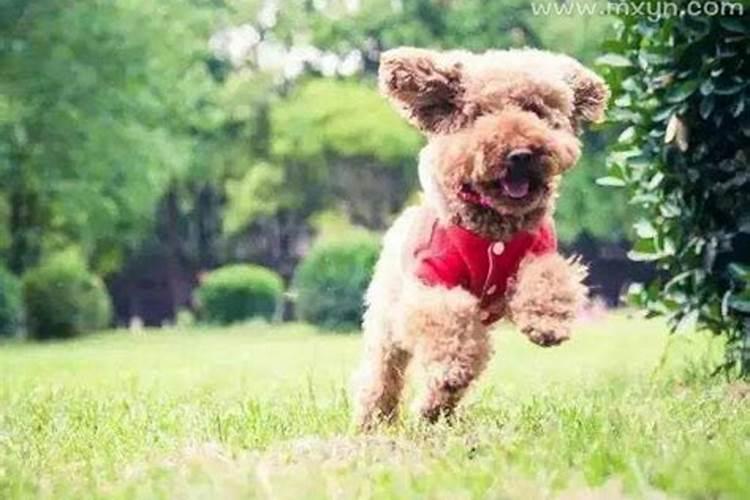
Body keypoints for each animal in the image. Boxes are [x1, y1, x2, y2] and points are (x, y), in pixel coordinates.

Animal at [354, 47, 612, 430]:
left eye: (535, 110)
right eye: (480, 114)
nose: (520, 154)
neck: (494, 229)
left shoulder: (539, 252)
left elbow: (547, 279)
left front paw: (547, 323)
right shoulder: (429, 283)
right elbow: (445, 317)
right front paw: (451, 362)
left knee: (456, 375)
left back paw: (432, 412)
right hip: (387, 321)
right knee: (383, 373)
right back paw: (374, 420)